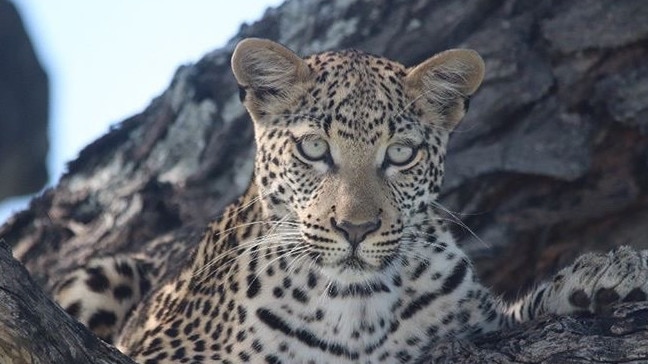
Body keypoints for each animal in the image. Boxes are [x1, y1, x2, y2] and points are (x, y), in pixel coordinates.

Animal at [52, 38, 648, 362]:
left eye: (401, 153)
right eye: (314, 148)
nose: (356, 229)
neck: (353, 307)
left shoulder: (483, 328)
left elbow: (524, 310)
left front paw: (602, 278)